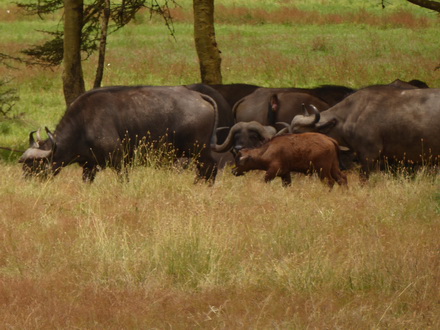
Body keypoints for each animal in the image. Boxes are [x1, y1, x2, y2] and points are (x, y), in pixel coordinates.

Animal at [19, 85, 219, 183]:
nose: (27, 183)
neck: (84, 124)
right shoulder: (89, 166)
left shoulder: (120, 161)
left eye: (35, 166)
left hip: (199, 151)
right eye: (24, 167)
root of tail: (199, 96)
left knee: (209, 168)